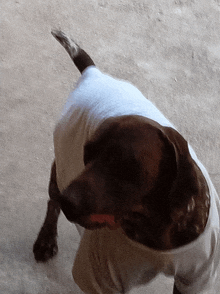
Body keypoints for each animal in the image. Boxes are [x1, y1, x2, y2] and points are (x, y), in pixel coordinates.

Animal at [33, 30, 220, 294]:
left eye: (126, 164)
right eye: (87, 153)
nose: (69, 201)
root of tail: (94, 74)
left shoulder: (197, 277)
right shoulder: (100, 278)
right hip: (60, 168)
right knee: (52, 203)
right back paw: (46, 238)